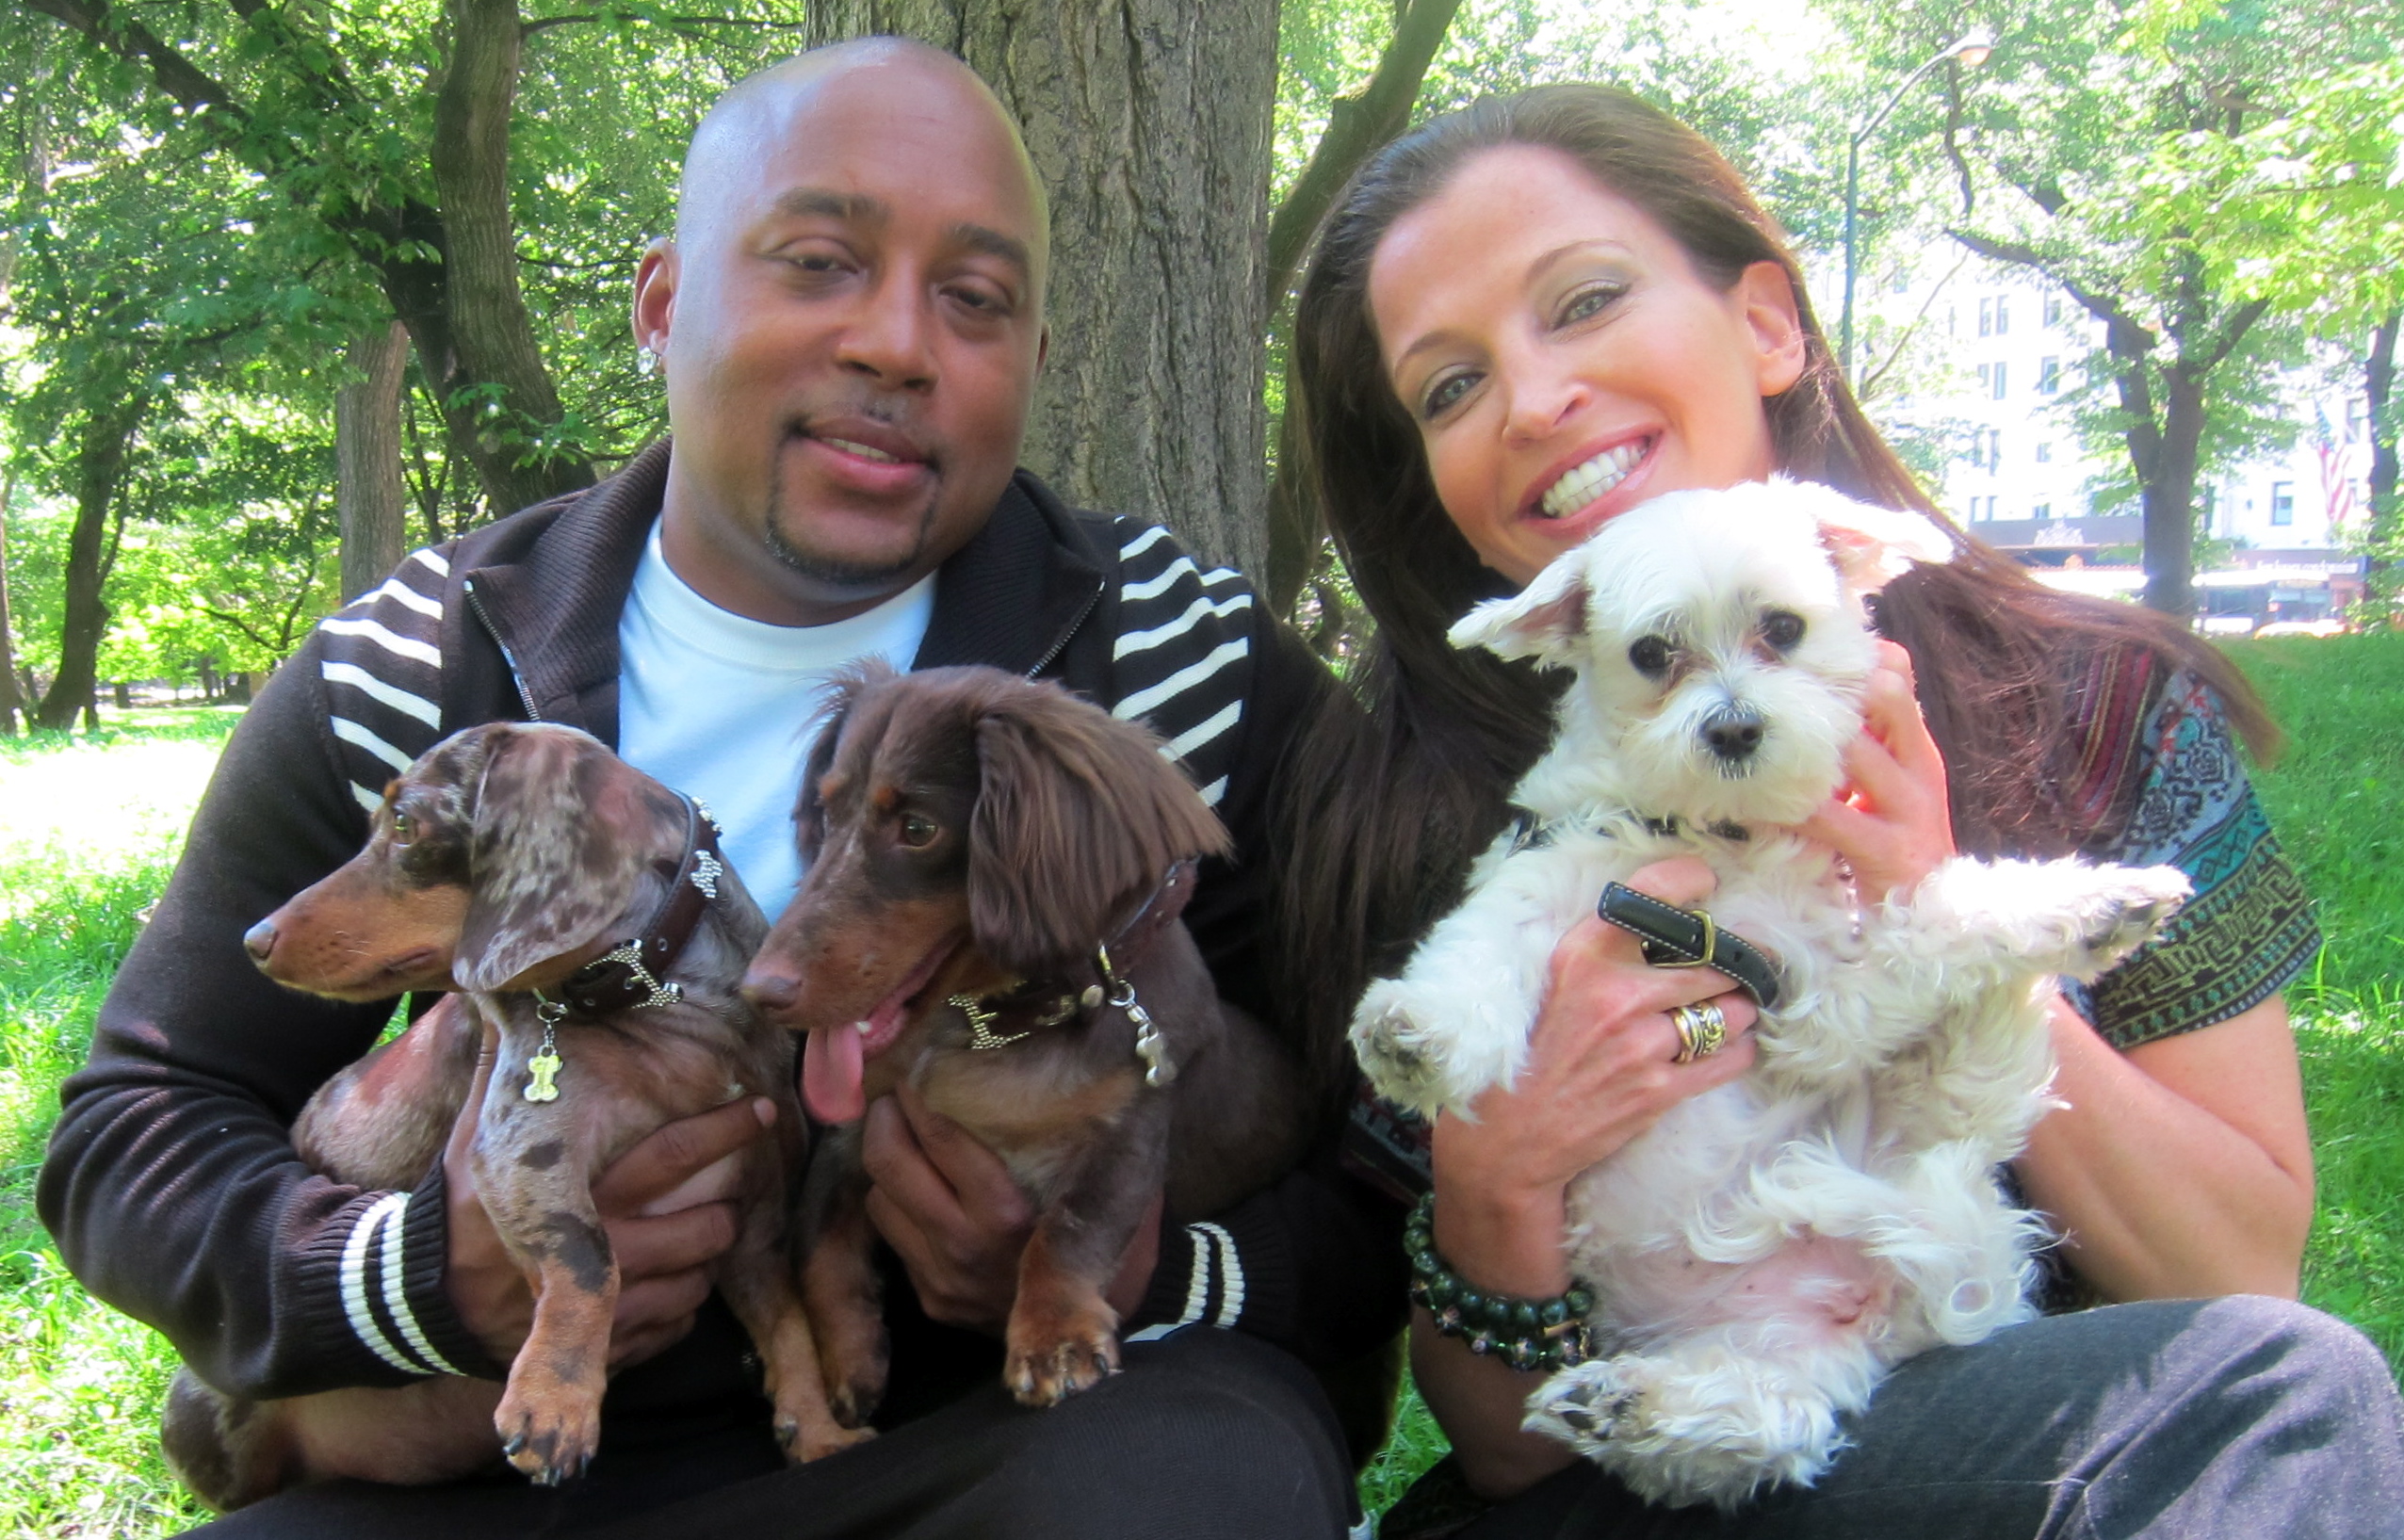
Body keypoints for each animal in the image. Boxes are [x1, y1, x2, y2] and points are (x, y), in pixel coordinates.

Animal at [1356, 480, 2201, 1499]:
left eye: (1783, 628)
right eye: (1651, 654)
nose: (1732, 727)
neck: (1717, 842)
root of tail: (1887, 1298)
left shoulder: (1816, 1014)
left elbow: (1930, 924)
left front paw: (2085, 900)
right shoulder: (1564, 875)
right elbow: (1482, 942)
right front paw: (1420, 1031)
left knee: (1773, 1414)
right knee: (1768, 1418)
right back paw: (1631, 1407)